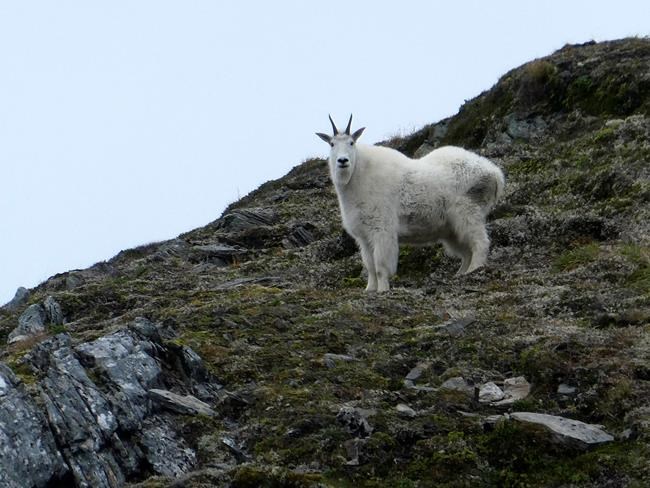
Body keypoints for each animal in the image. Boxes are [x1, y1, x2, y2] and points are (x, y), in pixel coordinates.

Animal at [316, 115, 505, 292]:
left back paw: (474, 270)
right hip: (452, 229)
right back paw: (460, 274)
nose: (342, 161)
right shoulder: (363, 236)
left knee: (480, 243)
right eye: (332, 144)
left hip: (468, 213)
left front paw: (382, 289)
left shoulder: (382, 229)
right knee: (466, 252)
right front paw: (369, 289)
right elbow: (369, 265)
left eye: (351, 142)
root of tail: (495, 173)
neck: (357, 176)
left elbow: (380, 265)